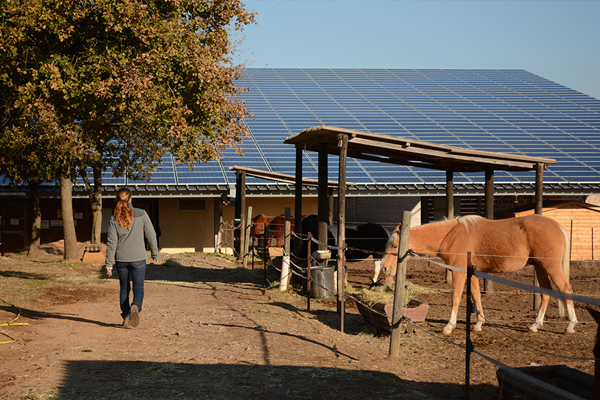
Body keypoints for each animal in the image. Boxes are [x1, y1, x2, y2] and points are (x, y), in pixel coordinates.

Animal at [378, 214, 580, 336]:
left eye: (394, 245)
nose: (384, 268)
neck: (451, 235)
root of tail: (558, 227)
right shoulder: (472, 273)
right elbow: (476, 296)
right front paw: (478, 324)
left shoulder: (459, 273)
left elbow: (456, 297)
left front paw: (449, 327)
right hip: (540, 267)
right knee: (546, 293)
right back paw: (535, 325)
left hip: (550, 266)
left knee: (565, 288)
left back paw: (570, 325)